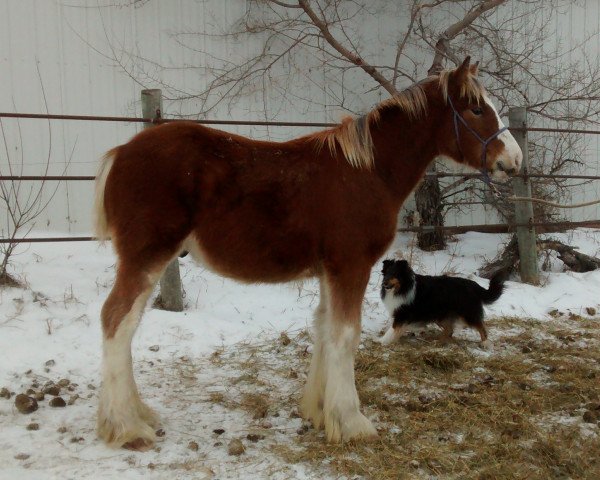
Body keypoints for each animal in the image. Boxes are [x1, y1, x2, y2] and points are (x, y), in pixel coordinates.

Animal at [92, 57, 520, 450]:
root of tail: (120, 153)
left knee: (125, 324)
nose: (513, 161)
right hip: (146, 257)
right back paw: (127, 427)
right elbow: (346, 335)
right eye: (476, 109)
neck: (369, 173)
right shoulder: (351, 266)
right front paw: (352, 422)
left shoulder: (330, 270)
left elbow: (324, 327)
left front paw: (319, 411)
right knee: (117, 320)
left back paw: (137, 414)